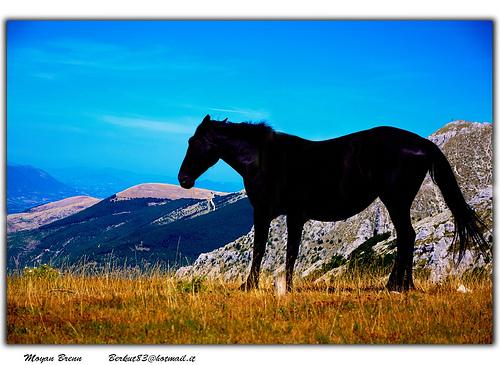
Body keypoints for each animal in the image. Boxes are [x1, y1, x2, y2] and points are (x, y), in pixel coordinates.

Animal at [180, 114, 488, 290]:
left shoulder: (268, 212)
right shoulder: (293, 215)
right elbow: (288, 252)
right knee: (406, 237)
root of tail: (423, 144)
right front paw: (285, 286)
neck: (264, 159)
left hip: (396, 201)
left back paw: (396, 285)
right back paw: (403, 285)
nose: (183, 179)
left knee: (407, 236)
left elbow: (263, 250)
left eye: (194, 142)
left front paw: (252, 286)